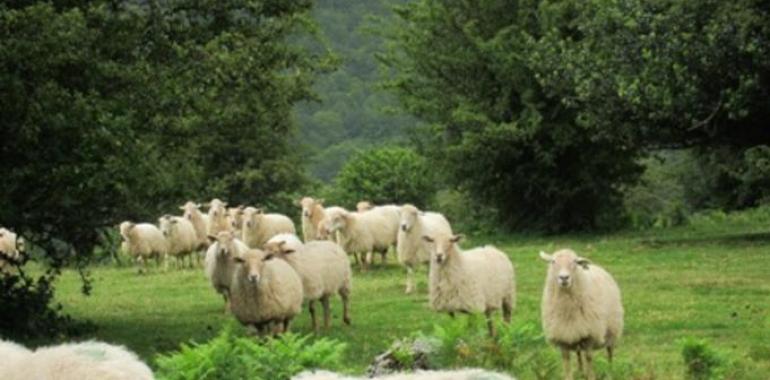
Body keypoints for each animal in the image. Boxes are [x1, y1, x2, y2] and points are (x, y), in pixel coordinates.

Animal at [536, 249, 620, 380]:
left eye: (575, 262)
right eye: (553, 261)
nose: (564, 278)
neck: (567, 309)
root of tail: (595, 266)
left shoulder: (591, 334)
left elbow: (589, 357)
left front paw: (591, 377)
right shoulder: (563, 335)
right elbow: (566, 359)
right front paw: (569, 377)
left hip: (613, 330)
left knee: (609, 352)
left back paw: (610, 372)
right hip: (576, 332)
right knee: (578, 353)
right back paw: (581, 372)